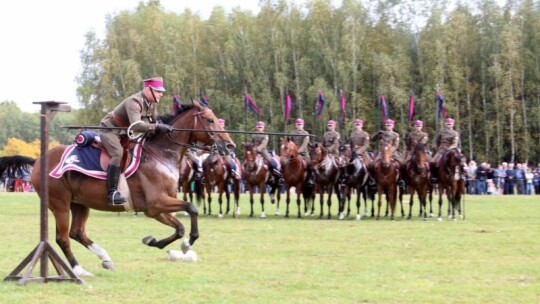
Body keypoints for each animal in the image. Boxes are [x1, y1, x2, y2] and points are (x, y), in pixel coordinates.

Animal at [31, 101, 234, 276]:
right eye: (210, 120)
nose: (229, 145)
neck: (161, 155)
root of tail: (40, 160)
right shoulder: (157, 203)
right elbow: (191, 209)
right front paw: (186, 244)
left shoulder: (154, 210)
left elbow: (179, 228)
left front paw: (155, 241)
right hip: (60, 204)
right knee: (63, 238)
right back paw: (79, 271)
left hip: (80, 203)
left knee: (77, 233)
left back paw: (105, 259)